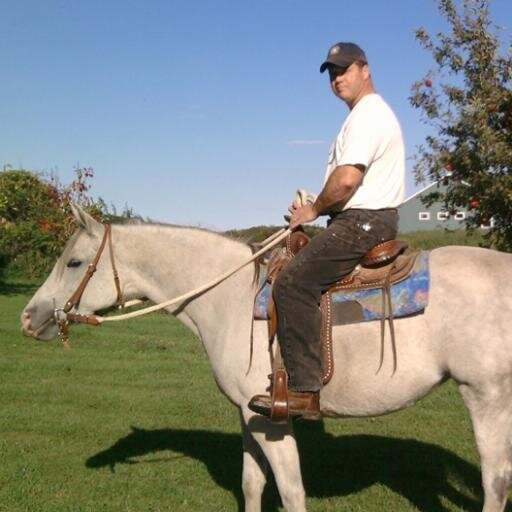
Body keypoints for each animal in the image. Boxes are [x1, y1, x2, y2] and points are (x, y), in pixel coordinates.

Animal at [22, 207, 512, 512]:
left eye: (74, 262)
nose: (29, 316)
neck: (231, 296)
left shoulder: (272, 419)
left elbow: (291, 492)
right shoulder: (248, 413)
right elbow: (252, 484)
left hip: (486, 396)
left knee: (496, 482)